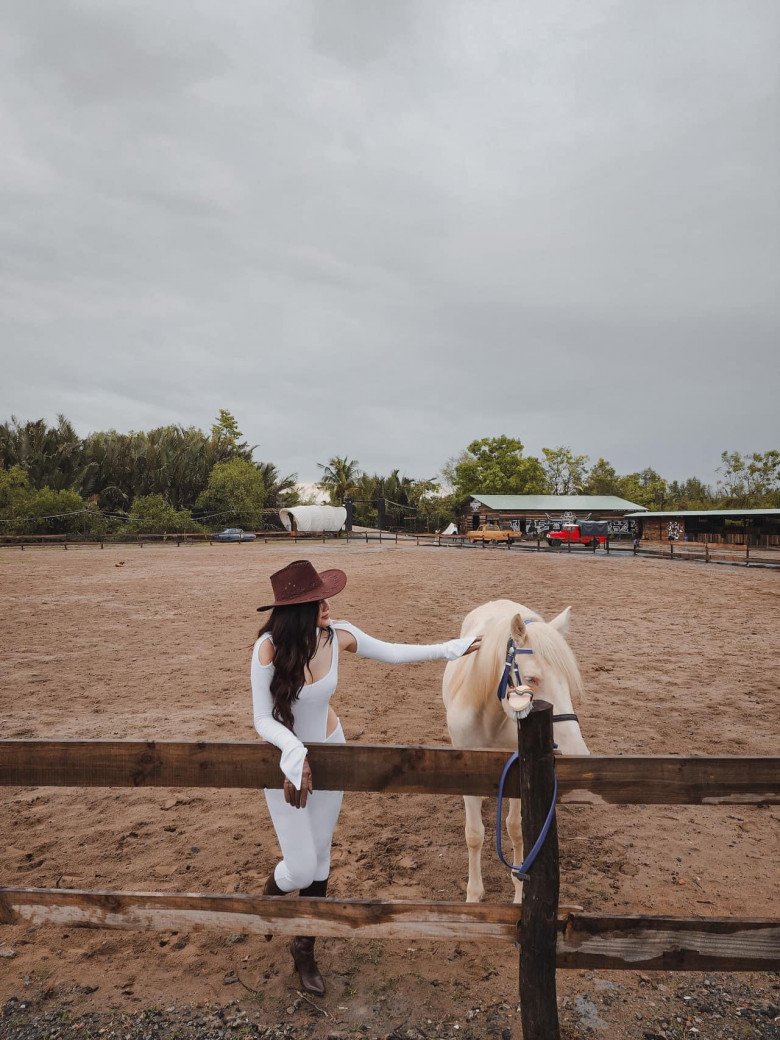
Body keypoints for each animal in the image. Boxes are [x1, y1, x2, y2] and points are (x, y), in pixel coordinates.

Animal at [443, 603, 590, 902]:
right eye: (532, 679)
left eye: (568, 682)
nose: (577, 754)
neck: (489, 718)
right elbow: (474, 834)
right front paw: (473, 896)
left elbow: (516, 830)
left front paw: (520, 891)